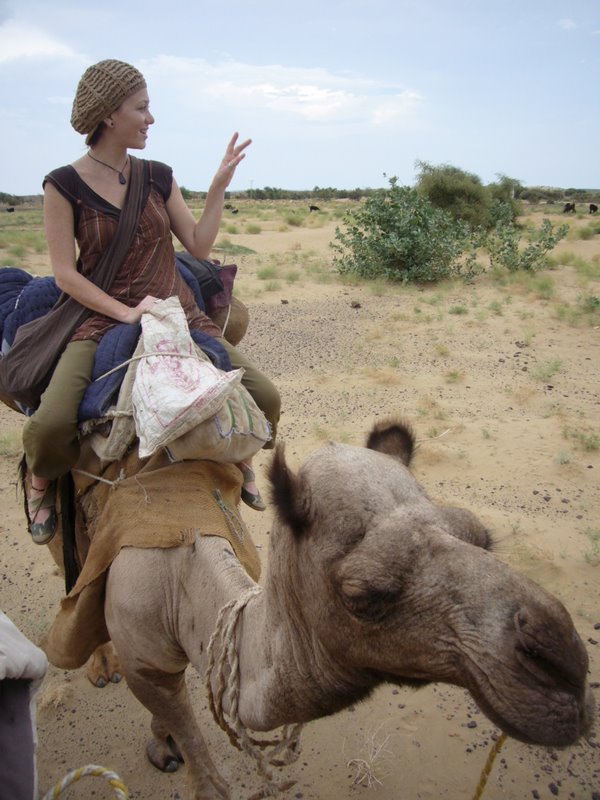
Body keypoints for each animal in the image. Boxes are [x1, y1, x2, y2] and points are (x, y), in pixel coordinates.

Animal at [36, 416, 594, 800]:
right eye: (364, 596)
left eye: (482, 537)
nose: (564, 668)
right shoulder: (144, 656)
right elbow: (200, 759)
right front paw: (173, 748)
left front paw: (164, 742)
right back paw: (99, 664)